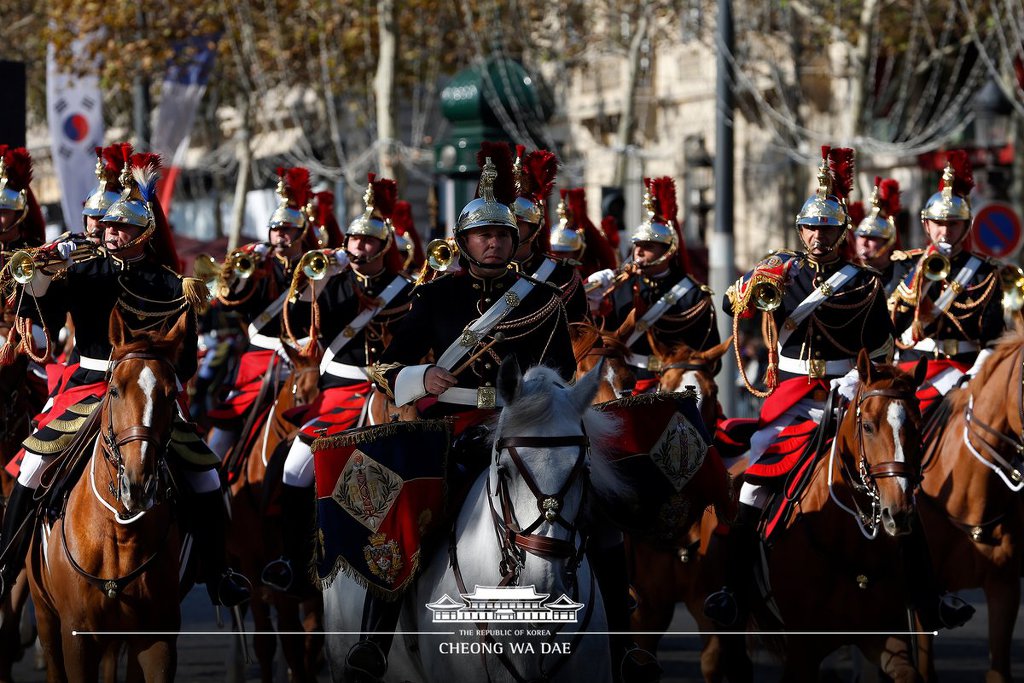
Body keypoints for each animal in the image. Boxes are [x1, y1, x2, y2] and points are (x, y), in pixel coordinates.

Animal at [27, 311, 188, 683]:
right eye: (114, 390)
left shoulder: (157, 638)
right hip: (46, 617)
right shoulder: (76, 638)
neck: (119, 532)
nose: (138, 484)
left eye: (172, 395)